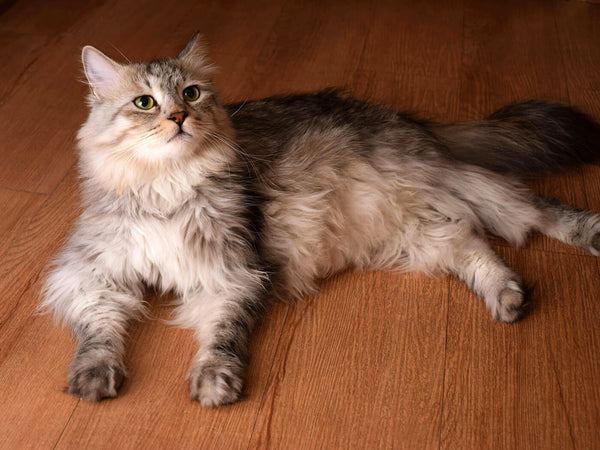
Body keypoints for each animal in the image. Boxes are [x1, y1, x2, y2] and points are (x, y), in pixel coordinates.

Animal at [41, 34, 600, 408]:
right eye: (144, 102)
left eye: (193, 94)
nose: (178, 117)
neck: (167, 189)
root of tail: (405, 120)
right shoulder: (92, 274)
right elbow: (98, 332)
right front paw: (92, 377)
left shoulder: (233, 274)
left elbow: (222, 337)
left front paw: (215, 382)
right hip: (416, 228)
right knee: (473, 244)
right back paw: (507, 297)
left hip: (441, 181)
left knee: (533, 208)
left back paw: (586, 234)